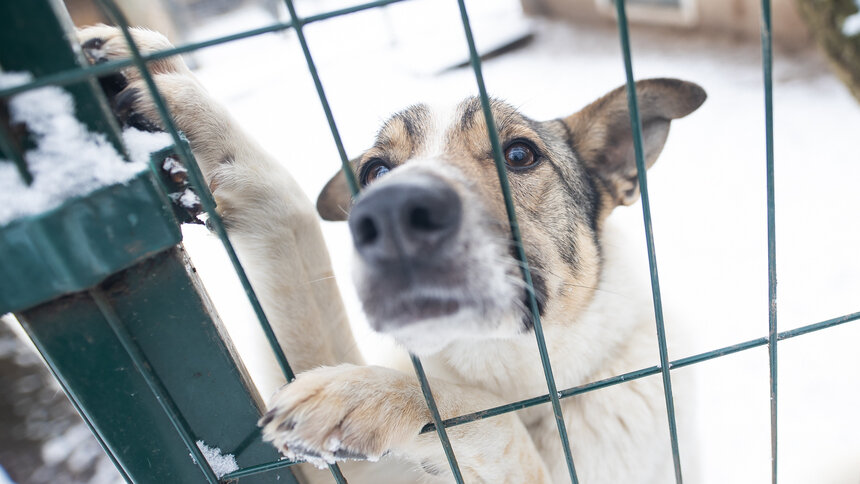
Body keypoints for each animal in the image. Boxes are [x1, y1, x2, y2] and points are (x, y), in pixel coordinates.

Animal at [77, 26, 704, 484]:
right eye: (376, 171)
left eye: (521, 154)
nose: (393, 212)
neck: (518, 386)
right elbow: (289, 219)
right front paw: (174, 92)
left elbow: (493, 424)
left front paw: (367, 396)